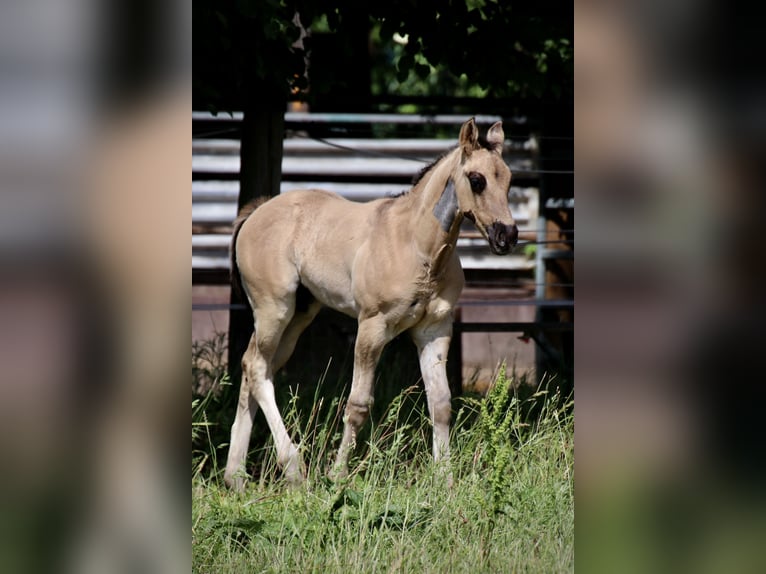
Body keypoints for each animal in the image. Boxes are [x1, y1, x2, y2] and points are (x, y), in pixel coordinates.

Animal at [225, 118, 520, 490]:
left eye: (508, 179)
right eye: (477, 179)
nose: (506, 236)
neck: (417, 246)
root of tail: (255, 212)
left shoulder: (435, 329)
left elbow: (440, 403)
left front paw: (445, 480)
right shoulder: (372, 327)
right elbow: (358, 404)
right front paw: (337, 476)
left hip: (298, 315)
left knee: (253, 365)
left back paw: (235, 476)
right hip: (273, 308)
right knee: (257, 367)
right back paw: (293, 468)